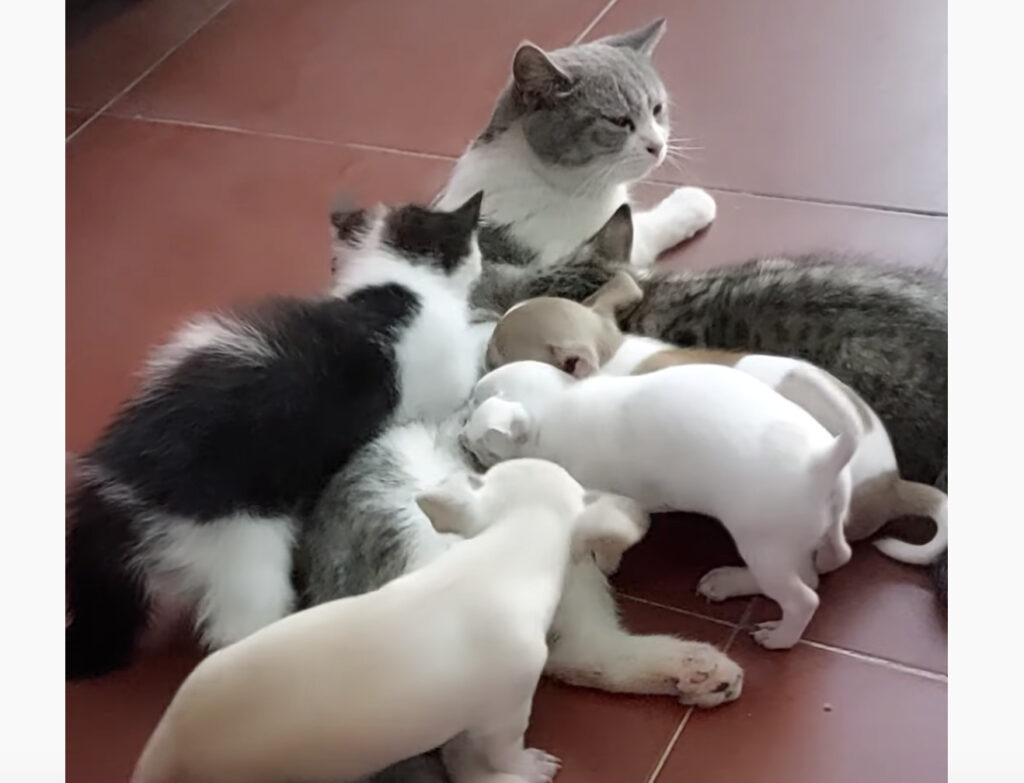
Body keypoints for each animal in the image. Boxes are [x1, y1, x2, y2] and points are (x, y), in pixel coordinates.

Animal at [461, 360, 860, 649]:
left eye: (473, 409)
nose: (460, 428)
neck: (555, 409)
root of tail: (822, 460)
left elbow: (603, 536)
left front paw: (603, 561)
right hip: (797, 537)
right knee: (814, 572)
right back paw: (728, 582)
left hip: (764, 544)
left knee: (803, 597)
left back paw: (780, 637)